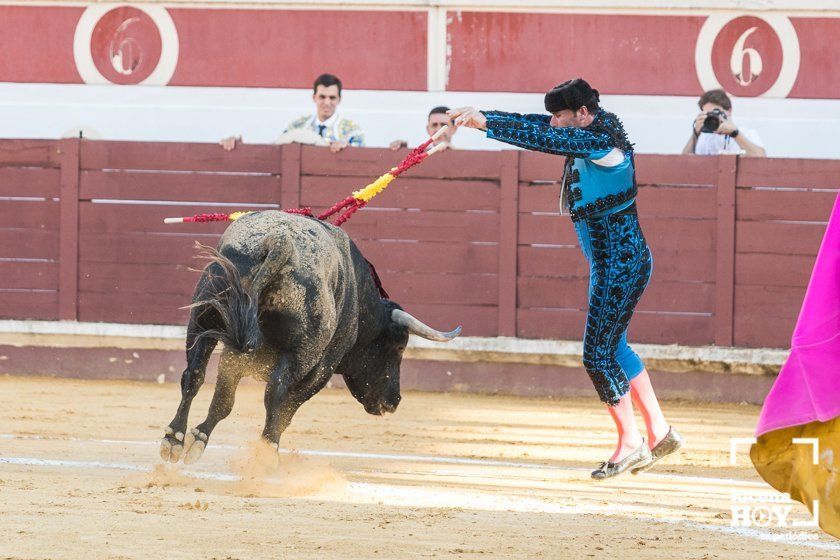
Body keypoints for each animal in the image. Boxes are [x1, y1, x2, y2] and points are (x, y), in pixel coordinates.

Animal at [158, 210, 460, 464]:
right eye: (399, 347)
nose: (394, 401)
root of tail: (280, 242)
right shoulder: (321, 369)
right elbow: (286, 411)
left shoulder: (234, 353)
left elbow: (223, 400)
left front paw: (199, 438)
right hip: (302, 353)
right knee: (276, 393)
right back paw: (267, 453)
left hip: (203, 320)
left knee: (194, 376)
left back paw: (174, 439)